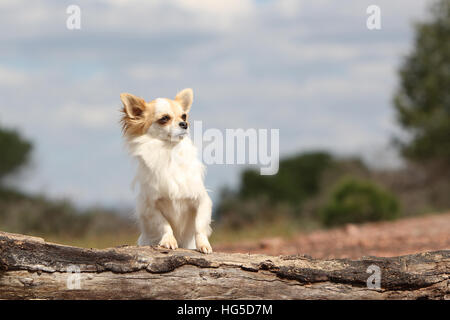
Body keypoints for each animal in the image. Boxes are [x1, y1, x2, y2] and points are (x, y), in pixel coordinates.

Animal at [118, 88, 212, 252]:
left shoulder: (202, 200)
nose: (184, 124)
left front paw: (203, 244)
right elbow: (164, 225)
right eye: (164, 119)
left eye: (184, 116)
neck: (169, 151)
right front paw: (168, 241)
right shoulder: (150, 207)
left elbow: (199, 225)